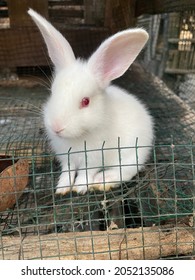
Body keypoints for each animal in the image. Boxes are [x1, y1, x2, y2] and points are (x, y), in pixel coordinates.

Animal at [28, 8, 155, 195]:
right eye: (52, 93)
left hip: (132, 153)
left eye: (85, 101)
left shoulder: (95, 158)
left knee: (126, 171)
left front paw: (80, 188)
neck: (77, 137)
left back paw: (102, 180)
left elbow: (86, 173)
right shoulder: (67, 158)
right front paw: (62, 188)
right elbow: (67, 171)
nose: (56, 127)